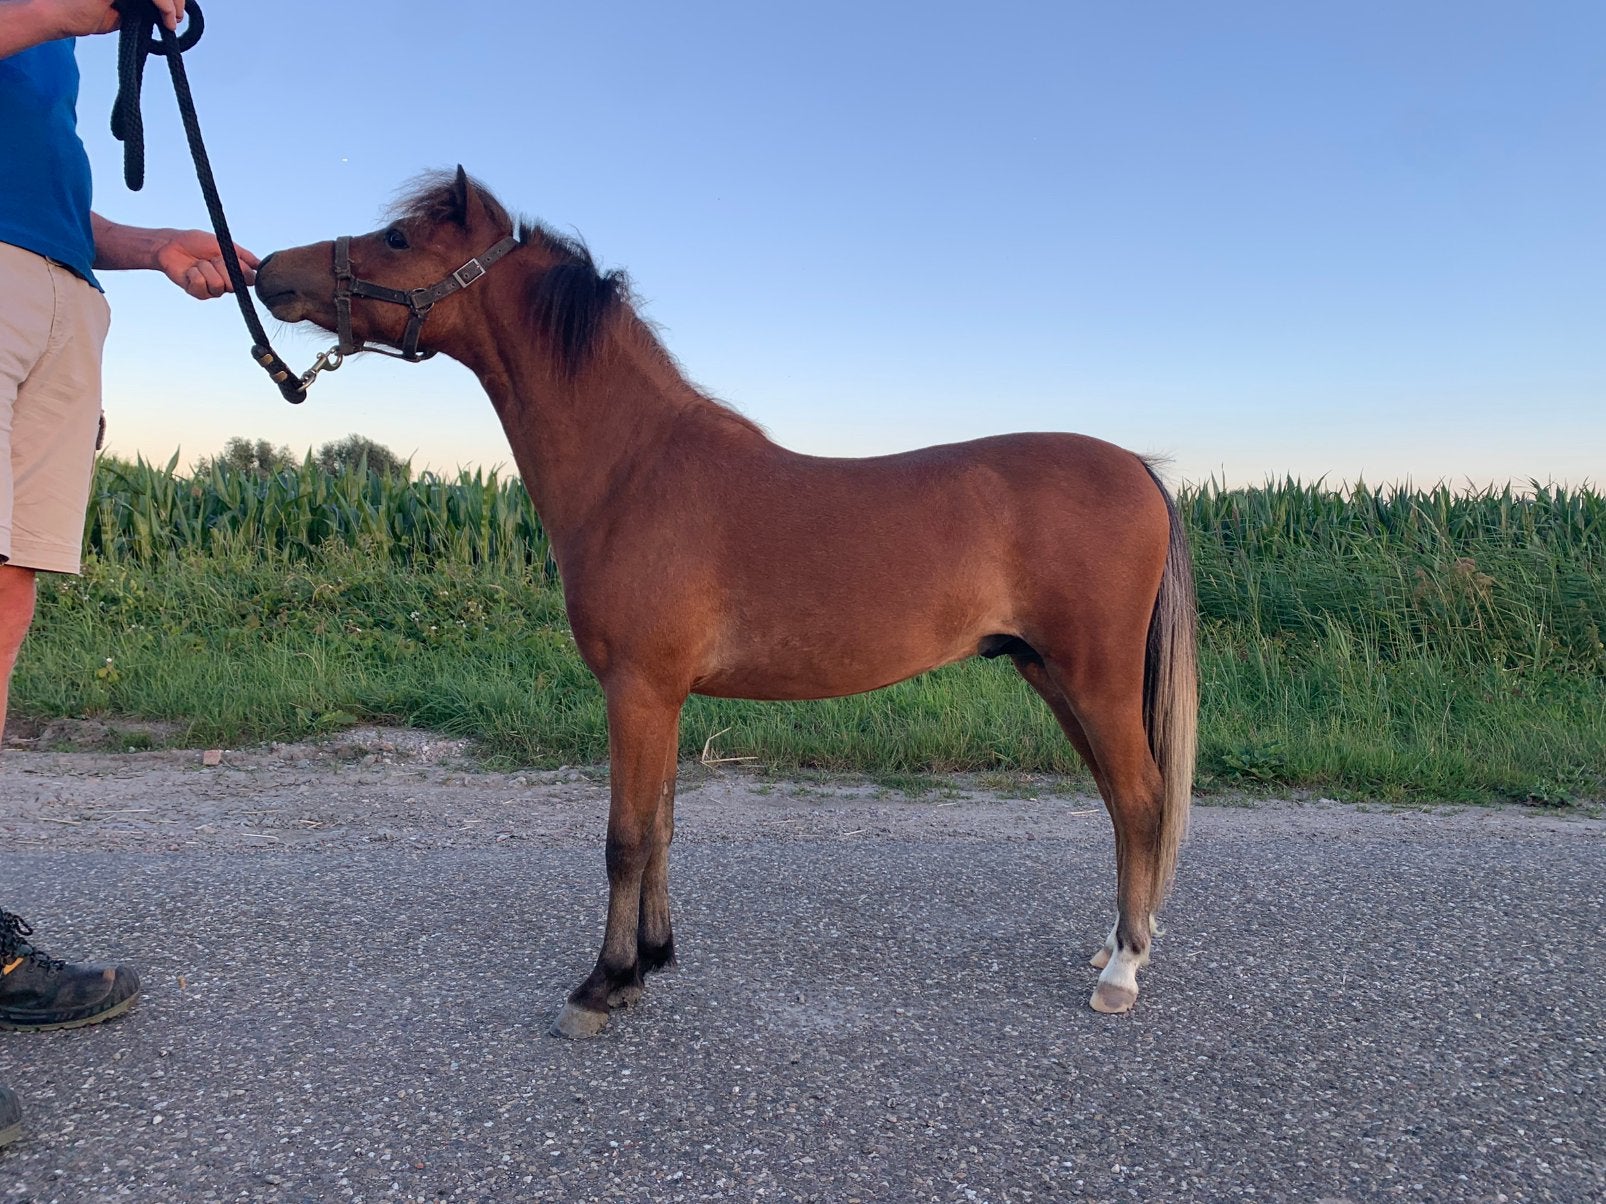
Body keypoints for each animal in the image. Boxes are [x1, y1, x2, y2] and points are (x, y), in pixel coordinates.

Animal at [255, 167, 1198, 1038]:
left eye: (398, 239)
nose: (268, 273)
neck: (633, 468)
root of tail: (1138, 469)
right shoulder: (665, 697)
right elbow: (663, 826)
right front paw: (650, 960)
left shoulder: (637, 689)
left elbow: (624, 838)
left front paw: (600, 986)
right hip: (1051, 674)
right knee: (1123, 803)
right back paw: (1118, 941)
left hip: (1094, 678)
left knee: (1141, 798)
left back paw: (1122, 968)